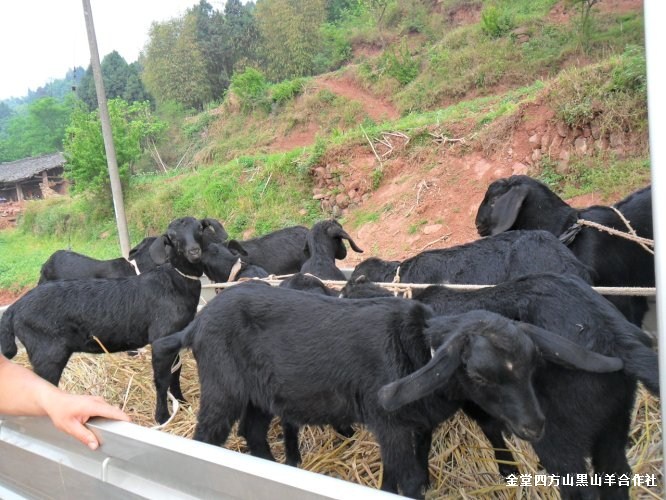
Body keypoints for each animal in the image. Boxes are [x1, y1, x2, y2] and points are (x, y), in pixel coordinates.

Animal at [0, 216, 208, 410]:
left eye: (199, 228)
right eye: (172, 237)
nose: (194, 252)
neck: (174, 281)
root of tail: (14, 309)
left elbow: (176, 371)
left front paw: (182, 402)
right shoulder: (163, 336)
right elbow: (169, 375)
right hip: (47, 353)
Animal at [153, 284, 620, 498]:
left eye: (532, 367)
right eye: (482, 376)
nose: (535, 426)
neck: (416, 351)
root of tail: (197, 323)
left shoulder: (418, 426)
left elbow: (412, 471)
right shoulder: (389, 425)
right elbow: (406, 478)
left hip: (261, 395)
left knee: (252, 431)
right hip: (223, 389)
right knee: (207, 436)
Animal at [352, 274, 652, 500]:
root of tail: (618, 339)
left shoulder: (475, 400)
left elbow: (489, 429)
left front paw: (508, 469)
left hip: (558, 433)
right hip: (613, 419)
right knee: (615, 474)